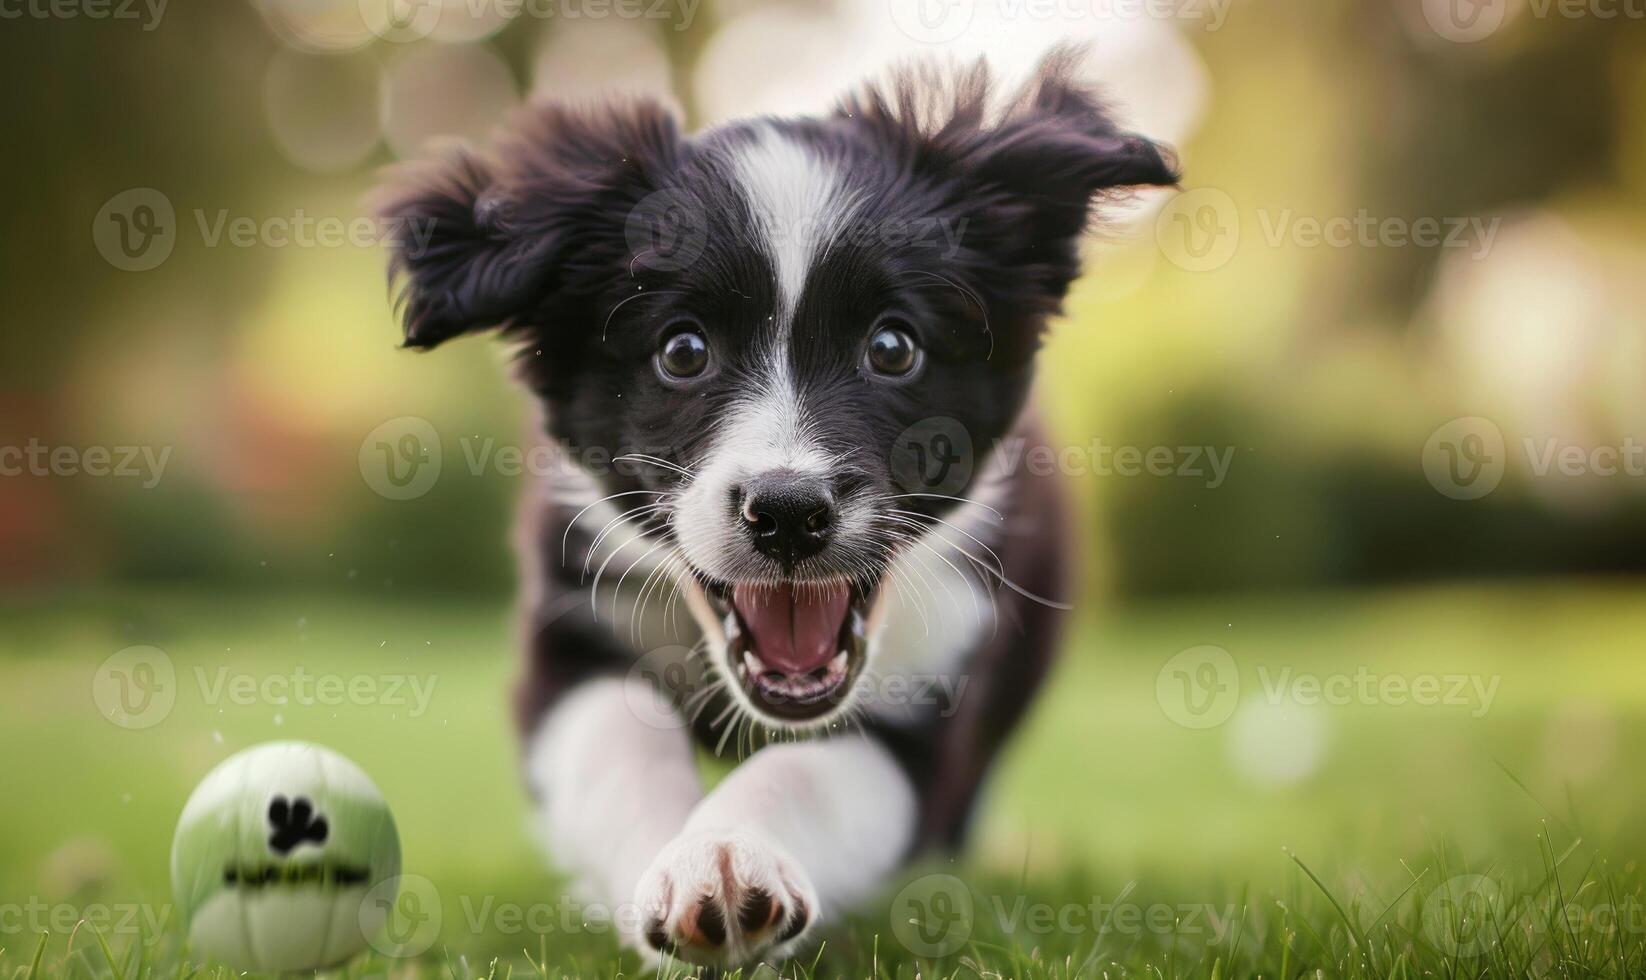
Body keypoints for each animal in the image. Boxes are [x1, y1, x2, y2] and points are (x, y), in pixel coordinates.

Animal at [376, 47, 1171, 975]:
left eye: (892, 347)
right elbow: (620, 747)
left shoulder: (926, 695)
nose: (788, 513)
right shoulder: (573, 632)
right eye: (683, 350)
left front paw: (727, 857)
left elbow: (811, 776)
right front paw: (672, 877)